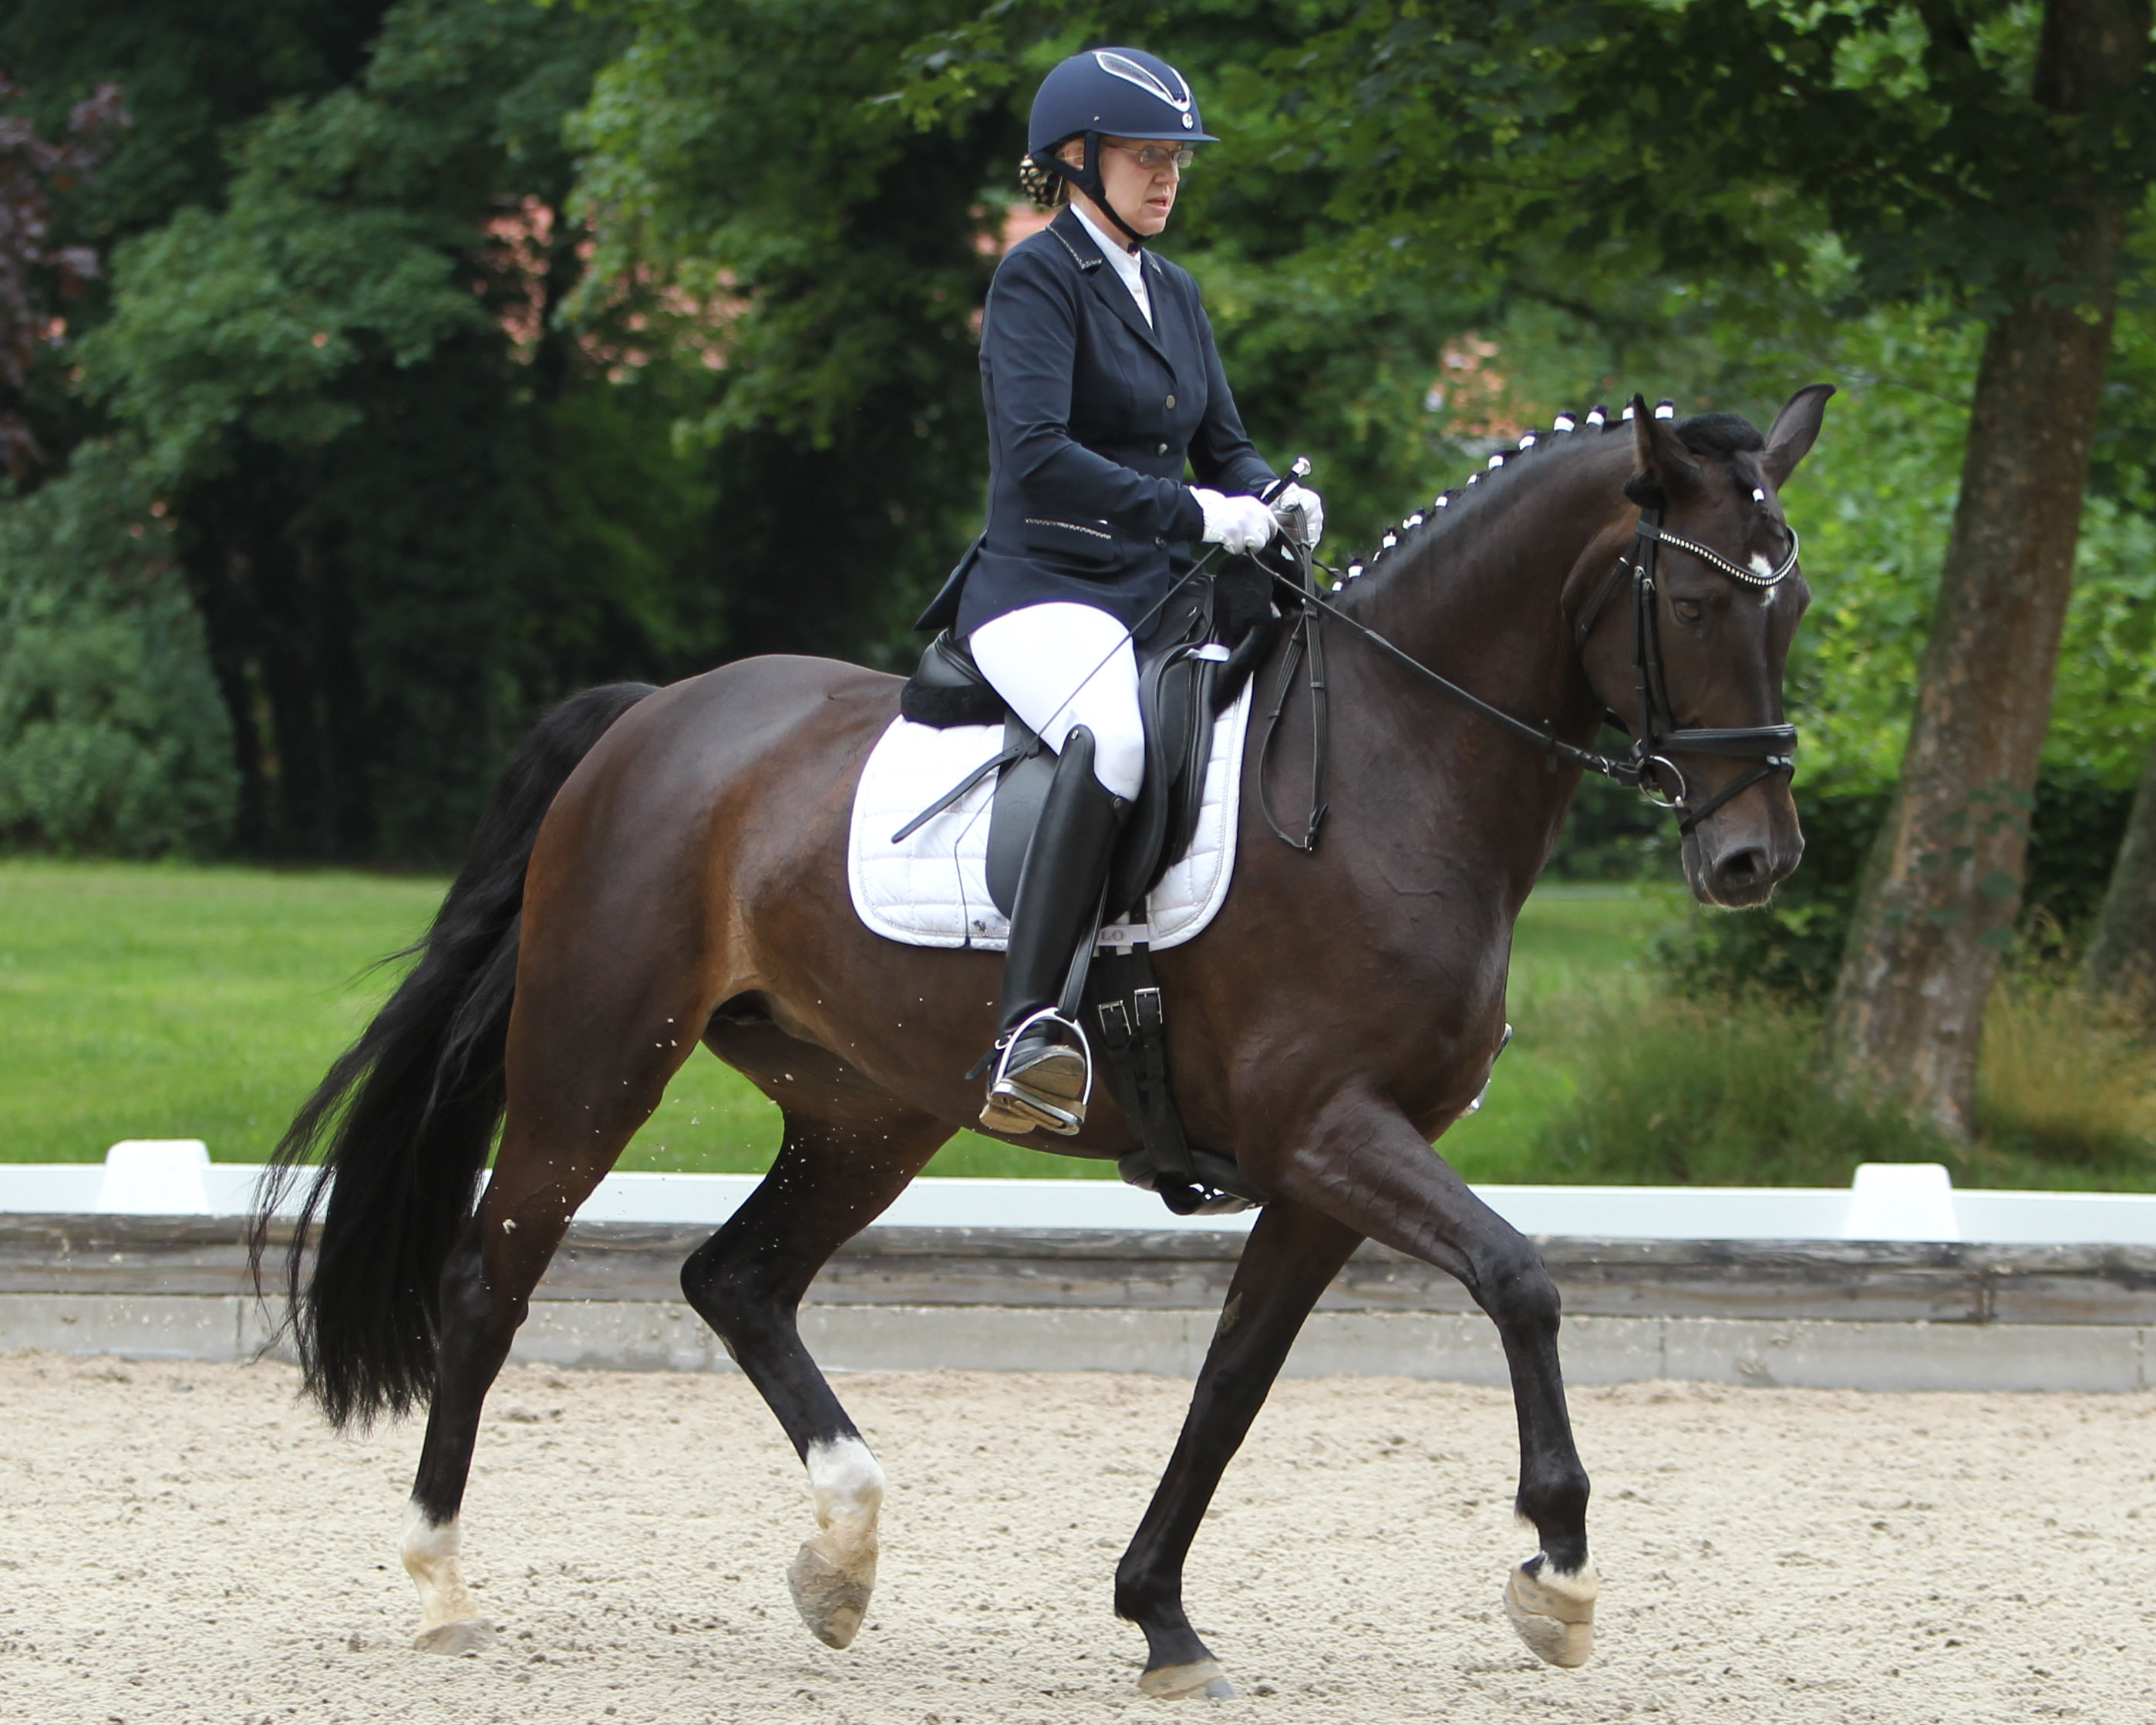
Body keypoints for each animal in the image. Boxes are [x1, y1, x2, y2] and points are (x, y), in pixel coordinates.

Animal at [261, 381, 1828, 1699]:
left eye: (1794, 601)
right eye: (1696, 598)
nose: (1754, 861)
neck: (1398, 766)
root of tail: (650, 716)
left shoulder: (1323, 1172)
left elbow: (1232, 1383)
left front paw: (1161, 1617)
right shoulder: (1330, 1128)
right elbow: (1522, 1281)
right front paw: (1557, 1575)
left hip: (869, 1108)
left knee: (738, 1277)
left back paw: (841, 1555)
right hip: (597, 1065)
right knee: (489, 1280)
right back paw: (443, 1582)